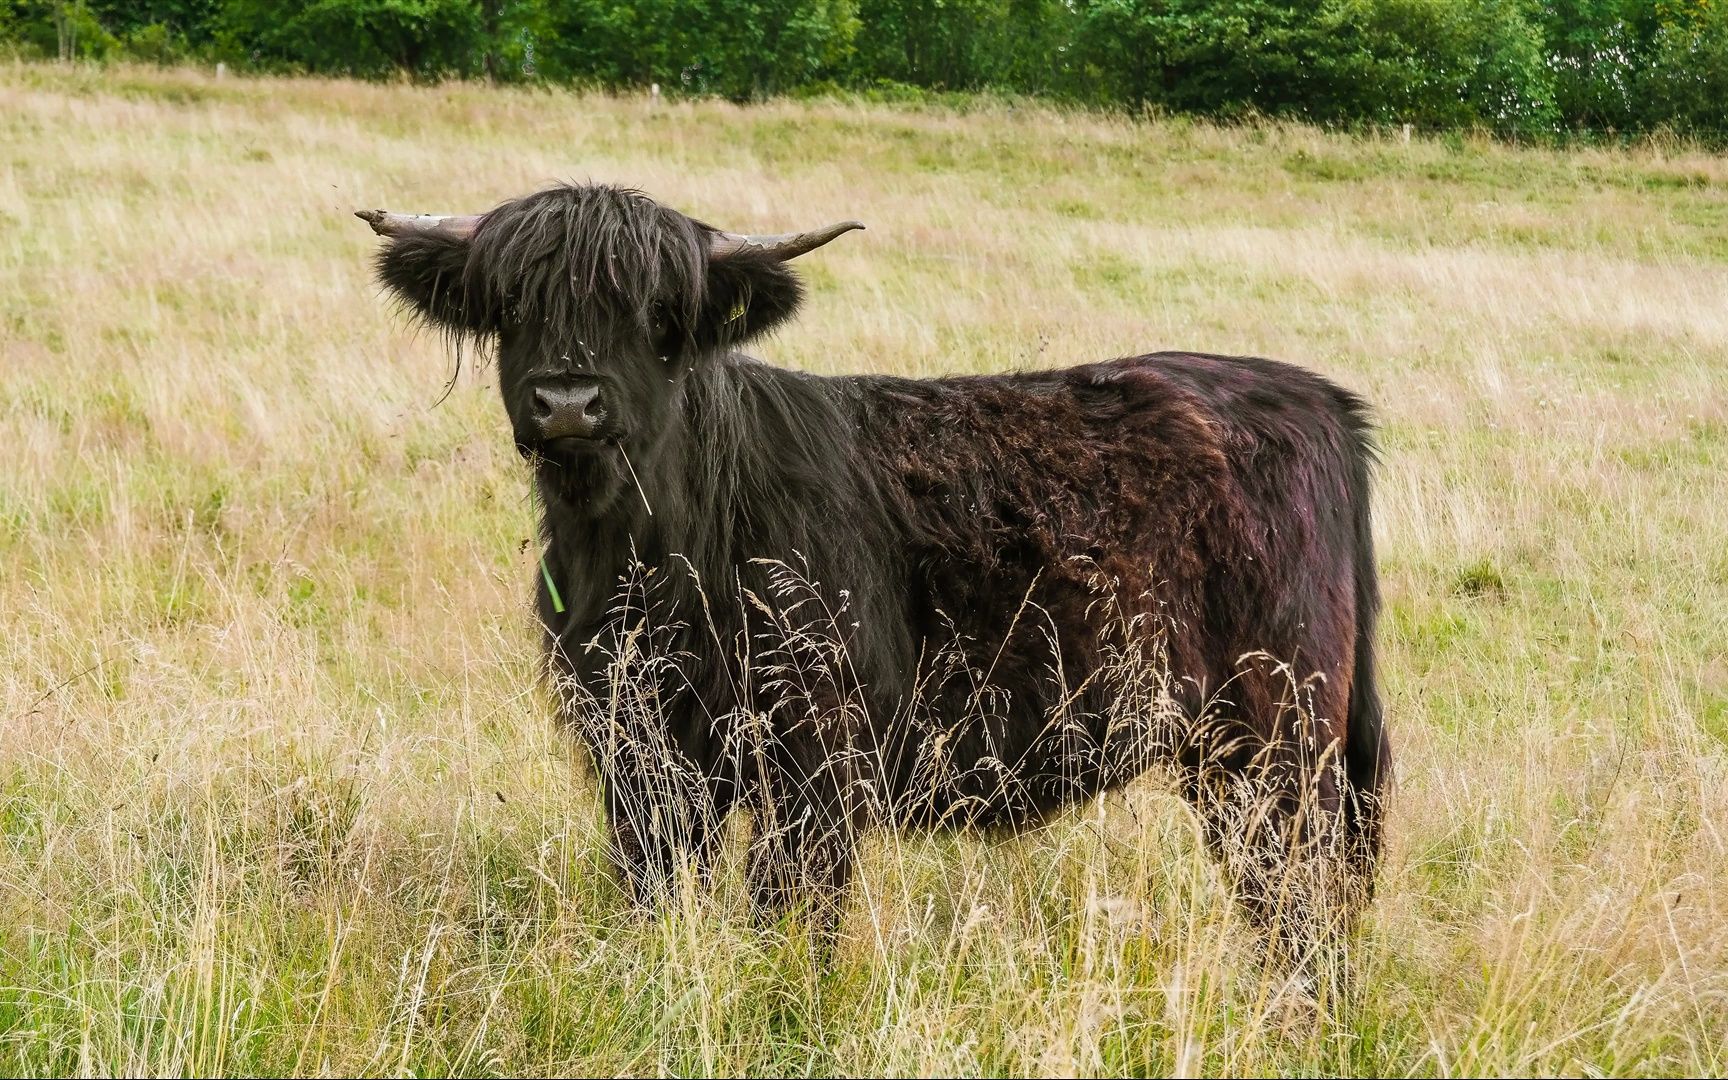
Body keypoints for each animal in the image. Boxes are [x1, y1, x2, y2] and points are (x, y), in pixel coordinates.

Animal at [361, 187, 1389, 953]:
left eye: (658, 316)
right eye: (512, 306)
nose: (569, 400)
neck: (649, 554)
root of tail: (1315, 398)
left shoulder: (816, 756)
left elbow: (792, 915)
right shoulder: (639, 754)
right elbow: (657, 895)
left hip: (1276, 738)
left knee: (1300, 906)